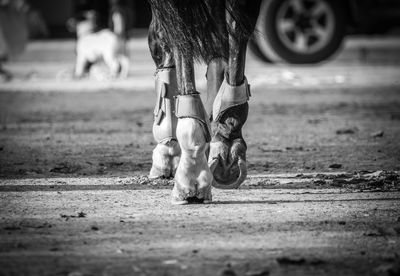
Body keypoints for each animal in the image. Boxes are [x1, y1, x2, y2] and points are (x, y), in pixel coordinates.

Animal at [147, 0, 262, 203]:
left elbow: (162, 39)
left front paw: (171, 151)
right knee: (231, 34)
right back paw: (226, 143)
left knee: (182, 38)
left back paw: (192, 172)